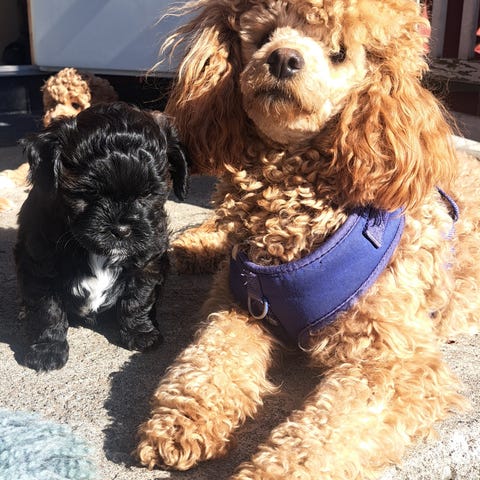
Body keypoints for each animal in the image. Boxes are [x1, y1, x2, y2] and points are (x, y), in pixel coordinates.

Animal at [15, 102, 189, 372]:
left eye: (148, 194)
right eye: (88, 193)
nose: (122, 229)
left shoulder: (148, 260)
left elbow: (138, 298)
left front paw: (140, 333)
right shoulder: (40, 264)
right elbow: (48, 309)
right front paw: (47, 349)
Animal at [136, 0, 480, 478]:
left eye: (339, 52)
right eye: (263, 36)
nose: (283, 58)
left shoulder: (394, 366)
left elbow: (325, 431)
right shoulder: (238, 306)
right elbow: (208, 358)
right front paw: (182, 420)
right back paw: (192, 246)